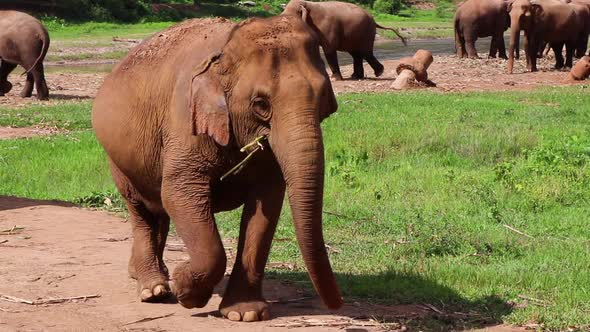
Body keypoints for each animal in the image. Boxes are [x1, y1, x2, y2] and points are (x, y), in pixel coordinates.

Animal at [90, 16, 344, 322]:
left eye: (323, 98)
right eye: (261, 104)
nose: (338, 303)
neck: (225, 51)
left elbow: (265, 209)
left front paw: (245, 313)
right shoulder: (184, 123)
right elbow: (179, 193)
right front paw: (186, 288)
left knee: (157, 209)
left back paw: (148, 275)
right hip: (118, 159)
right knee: (140, 209)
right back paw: (153, 289)